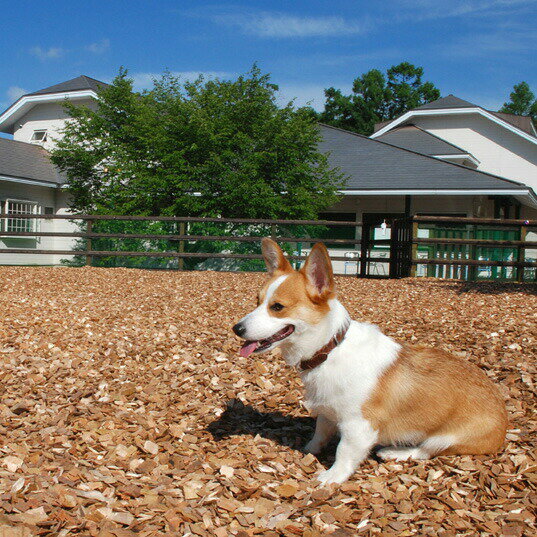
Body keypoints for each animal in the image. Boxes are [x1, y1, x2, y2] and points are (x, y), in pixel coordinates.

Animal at [231, 237, 506, 484]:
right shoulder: (328, 413)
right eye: (257, 302)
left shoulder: (358, 427)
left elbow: (344, 452)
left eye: (277, 307)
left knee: (425, 451)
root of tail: (504, 424)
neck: (330, 350)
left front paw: (331, 477)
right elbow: (320, 433)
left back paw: (395, 452)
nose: (236, 328)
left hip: (445, 439)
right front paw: (310, 450)